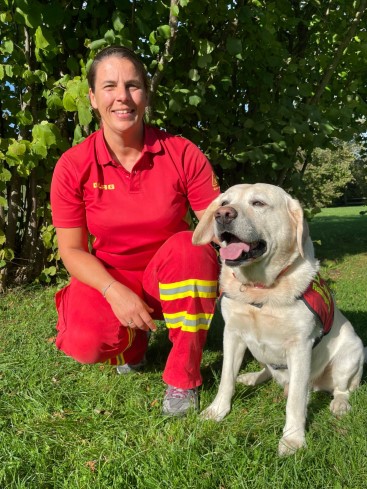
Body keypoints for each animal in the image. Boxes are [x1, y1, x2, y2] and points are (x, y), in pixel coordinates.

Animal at [194, 182, 366, 454]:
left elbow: (295, 400)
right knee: (267, 370)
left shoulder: (300, 346)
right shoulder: (232, 334)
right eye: (224, 203)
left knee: (342, 389)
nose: (223, 215)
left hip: (352, 353)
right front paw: (217, 411)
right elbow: (226, 379)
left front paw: (293, 439)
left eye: (258, 203)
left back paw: (339, 405)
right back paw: (252, 377)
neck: (261, 291)